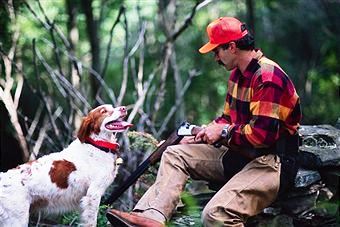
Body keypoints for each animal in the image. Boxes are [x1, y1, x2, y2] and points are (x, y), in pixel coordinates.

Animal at [0, 105, 131, 227]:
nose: (123, 108)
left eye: (113, 107)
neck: (98, 145)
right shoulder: (93, 195)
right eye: (103, 111)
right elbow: (91, 222)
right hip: (17, 218)